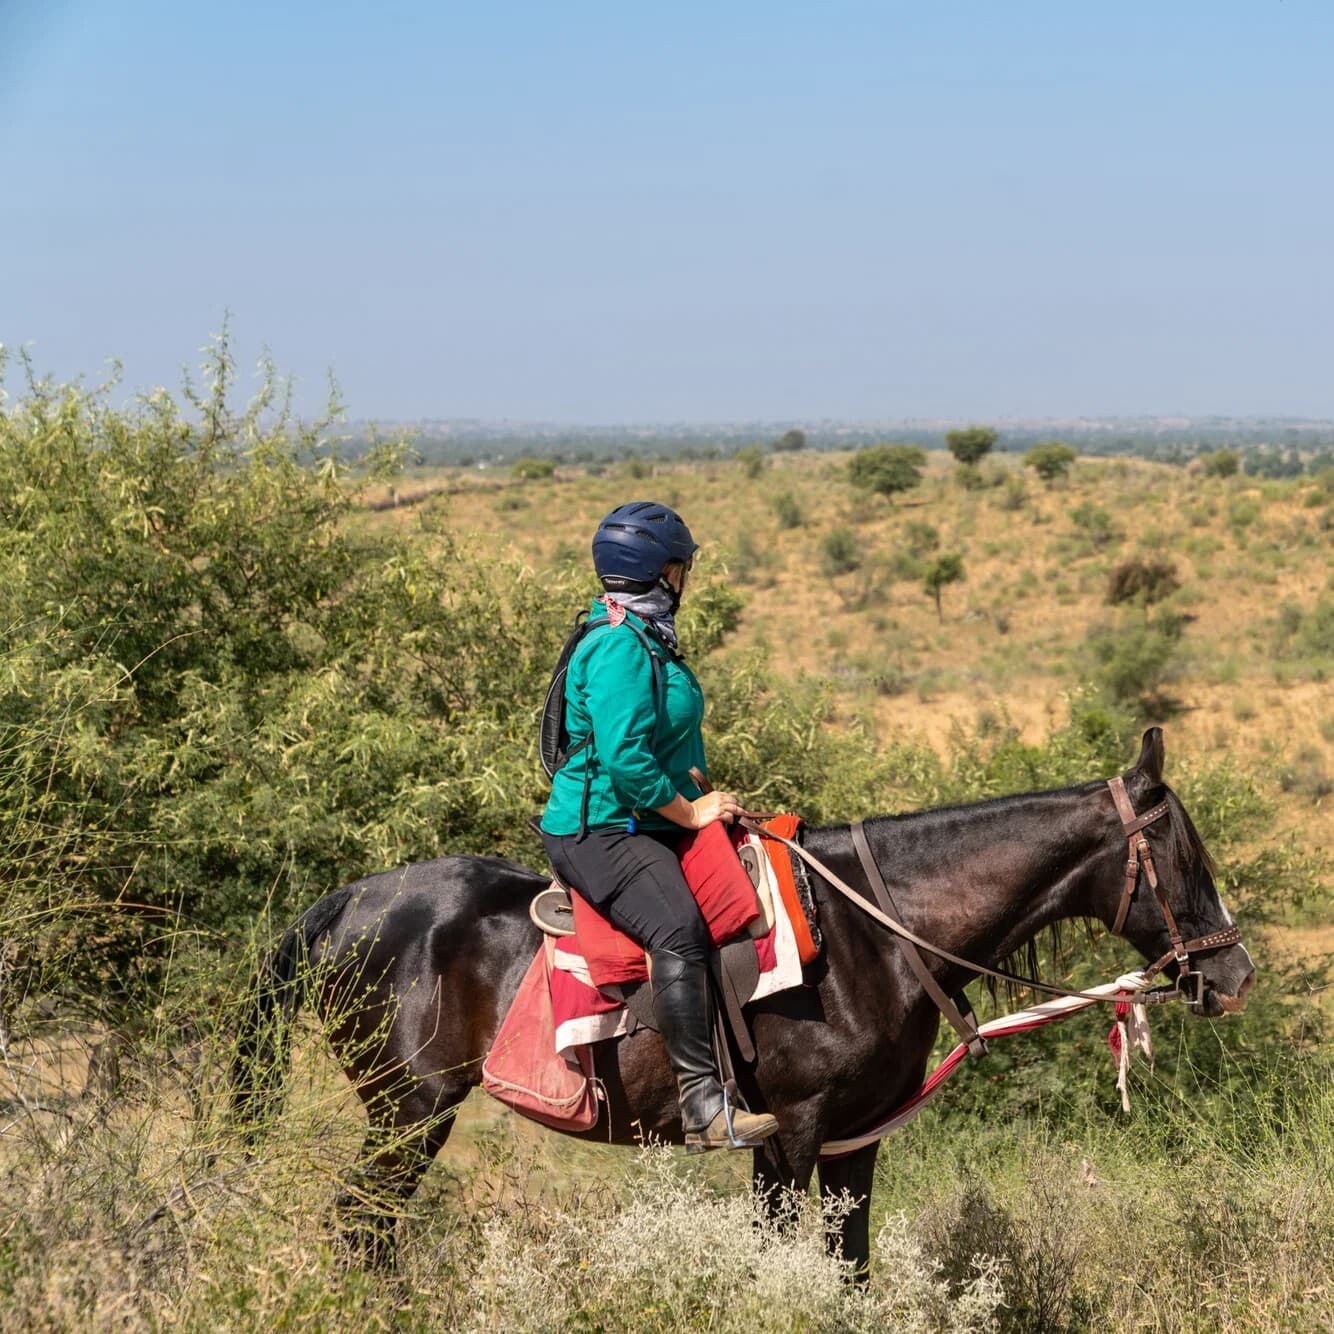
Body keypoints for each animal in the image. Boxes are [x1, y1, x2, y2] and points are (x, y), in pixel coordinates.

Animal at [232, 728, 1255, 1277]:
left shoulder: (853, 1140)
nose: (1235, 976)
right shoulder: (793, 1132)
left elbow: (848, 1267)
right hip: (408, 1111)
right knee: (359, 1228)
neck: (877, 933)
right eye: (1183, 857)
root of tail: (344, 903)